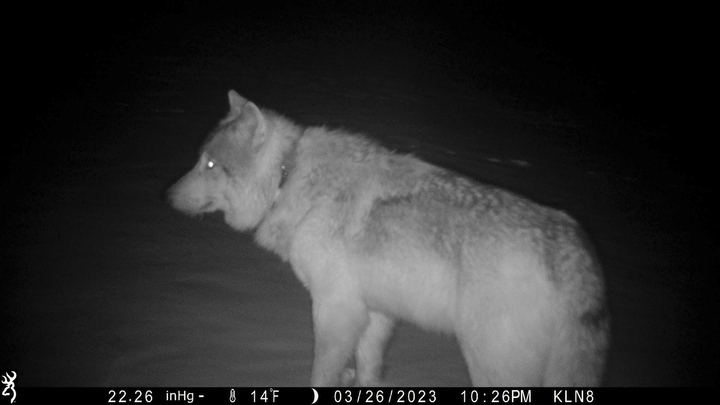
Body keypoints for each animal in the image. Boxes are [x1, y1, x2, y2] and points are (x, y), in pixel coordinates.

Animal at [167, 90, 609, 387]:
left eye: (210, 165)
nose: (166, 196)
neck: (287, 177)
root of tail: (570, 243)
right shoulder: (375, 314)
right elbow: (368, 370)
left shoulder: (336, 310)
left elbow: (320, 375)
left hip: (488, 364)